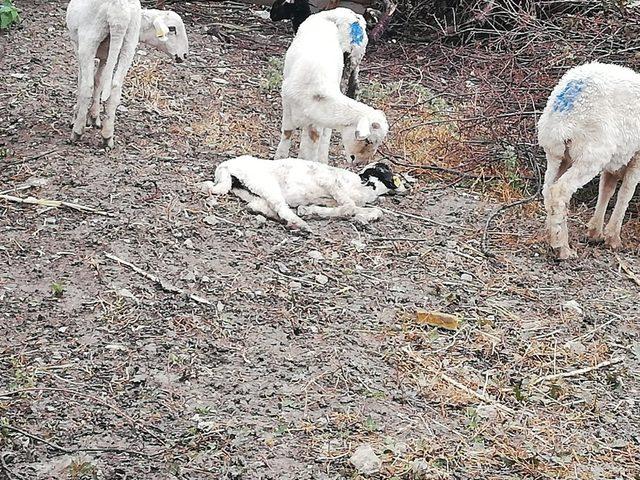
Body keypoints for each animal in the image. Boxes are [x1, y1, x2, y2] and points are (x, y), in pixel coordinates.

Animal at [67, 0, 188, 148]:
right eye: (172, 29)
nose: (184, 55)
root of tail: (120, 13)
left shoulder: (79, 48)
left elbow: (85, 82)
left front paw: (80, 116)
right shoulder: (105, 56)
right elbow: (99, 81)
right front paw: (94, 117)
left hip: (89, 40)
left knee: (87, 86)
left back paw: (77, 132)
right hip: (128, 45)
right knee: (114, 88)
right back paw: (107, 136)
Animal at [200, 155, 404, 232]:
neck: (364, 185)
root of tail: (226, 165)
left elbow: (373, 210)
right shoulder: (330, 183)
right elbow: (349, 207)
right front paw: (310, 211)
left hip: (250, 191)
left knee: (258, 205)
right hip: (267, 185)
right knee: (281, 207)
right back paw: (299, 223)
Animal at [272, 7, 388, 164]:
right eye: (368, 140)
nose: (359, 162)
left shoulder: (316, 123)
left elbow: (313, 144)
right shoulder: (287, 104)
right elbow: (287, 132)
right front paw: (280, 157)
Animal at [536, 62, 640, 260]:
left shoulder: (613, 163)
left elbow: (606, 189)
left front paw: (595, 232)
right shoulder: (637, 157)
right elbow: (625, 193)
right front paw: (613, 238)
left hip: (556, 154)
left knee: (548, 190)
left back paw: (553, 235)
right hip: (590, 154)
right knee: (560, 191)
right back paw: (562, 248)